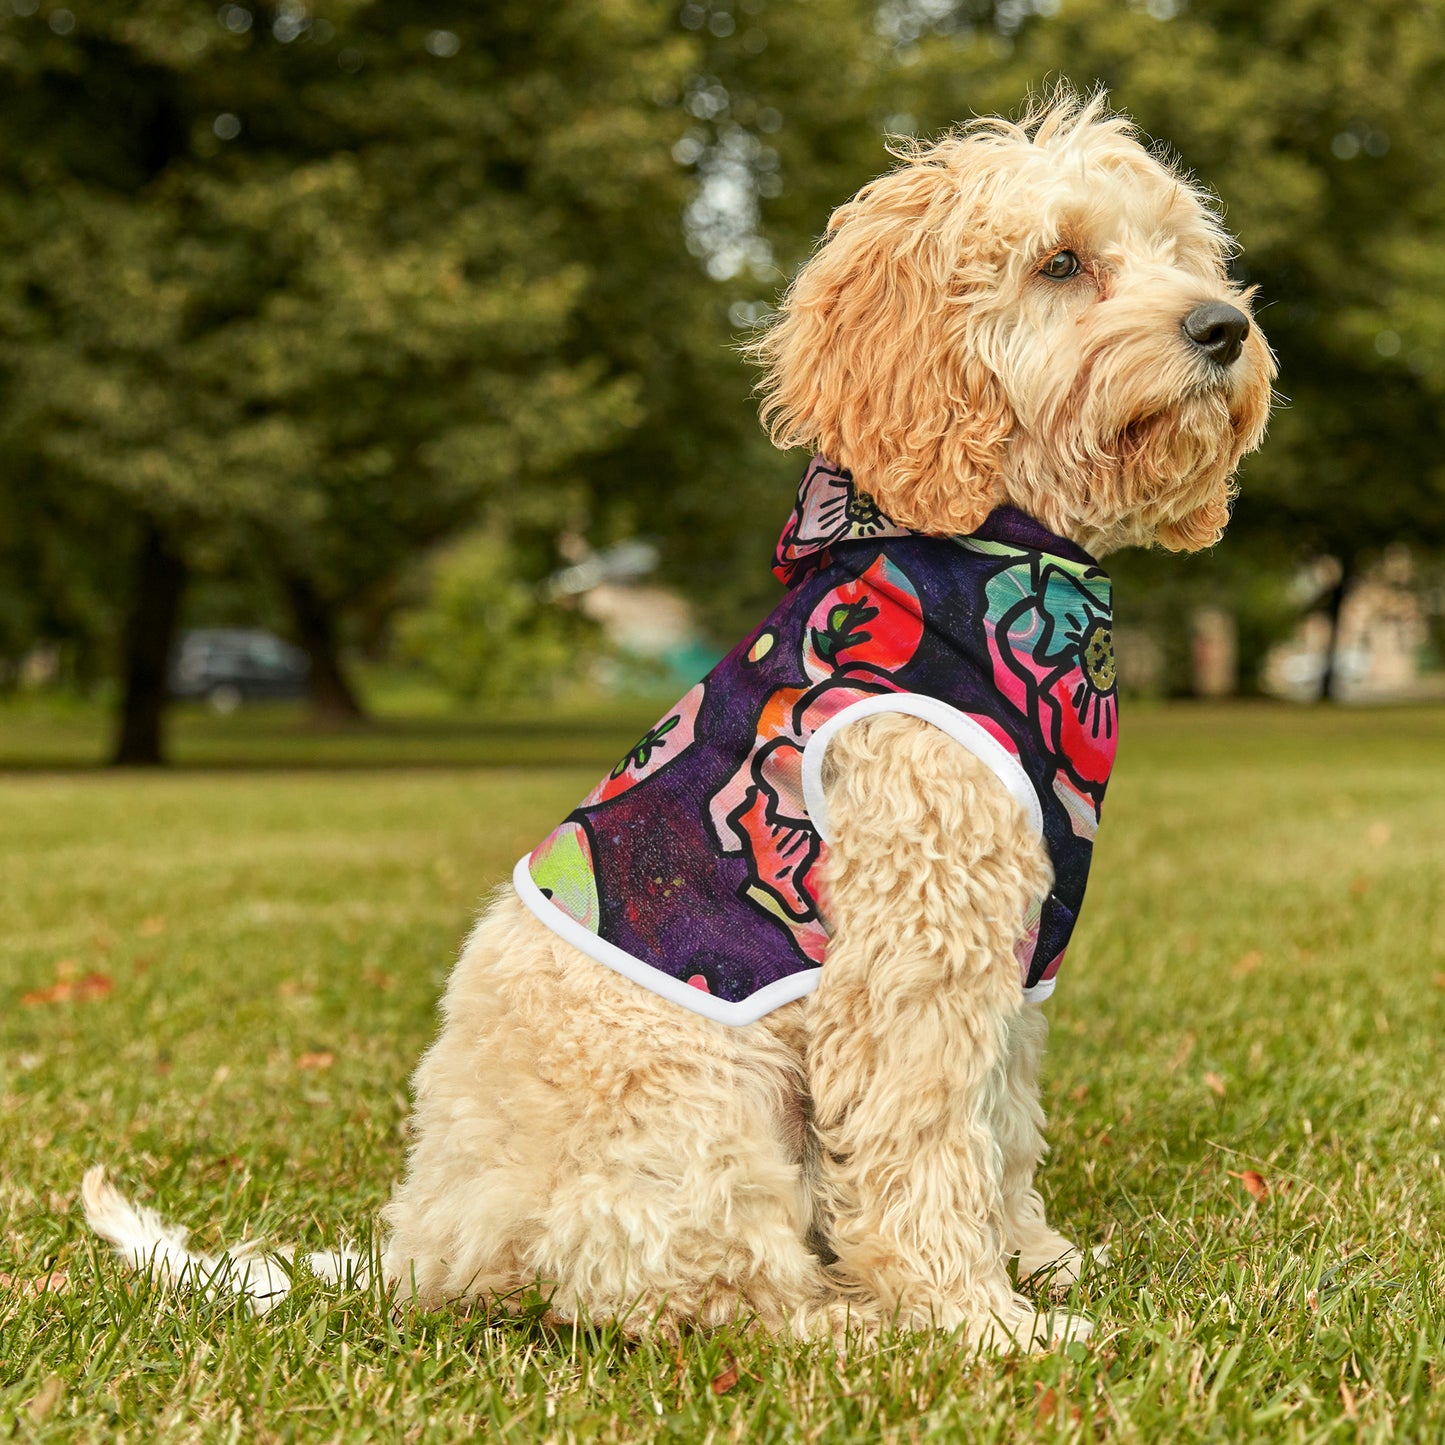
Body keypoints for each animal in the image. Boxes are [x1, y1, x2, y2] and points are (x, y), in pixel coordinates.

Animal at [84, 93, 1271, 1352]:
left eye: (1180, 253)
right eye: (1060, 262)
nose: (1222, 327)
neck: (981, 556)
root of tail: (425, 1247)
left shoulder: (1008, 955)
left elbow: (998, 1127)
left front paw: (1034, 1260)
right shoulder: (913, 949)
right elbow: (924, 1142)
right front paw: (977, 1319)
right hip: (702, 1103)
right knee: (700, 1291)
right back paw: (850, 1322)